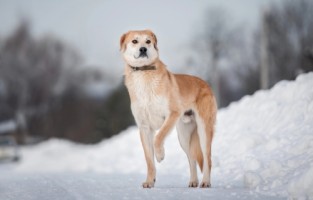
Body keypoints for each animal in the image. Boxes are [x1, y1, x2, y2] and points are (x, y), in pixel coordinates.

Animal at [120, 29, 217, 188]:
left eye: (148, 41)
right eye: (135, 41)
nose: (143, 49)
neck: (144, 73)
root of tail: (206, 84)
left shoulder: (172, 114)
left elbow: (159, 137)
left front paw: (160, 155)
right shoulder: (144, 127)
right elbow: (149, 160)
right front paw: (149, 181)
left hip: (203, 130)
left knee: (207, 158)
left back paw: (205, 182)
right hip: (184, 137)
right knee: (191, 158)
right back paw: (193, 181)